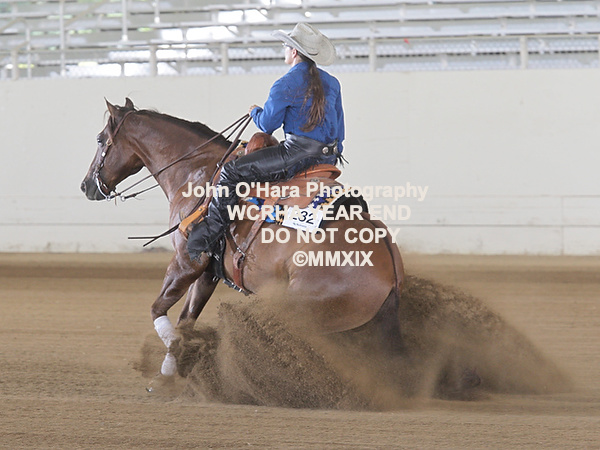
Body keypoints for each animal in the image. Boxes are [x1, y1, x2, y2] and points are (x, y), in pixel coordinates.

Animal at [81, 98, 404, 379]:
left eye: (100, 139)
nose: (86, 186)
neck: (197, 171)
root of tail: (390, 271)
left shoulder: (186, 261)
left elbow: (158, 310)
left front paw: (167, 375)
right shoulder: (207, 272)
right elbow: (187, 320)